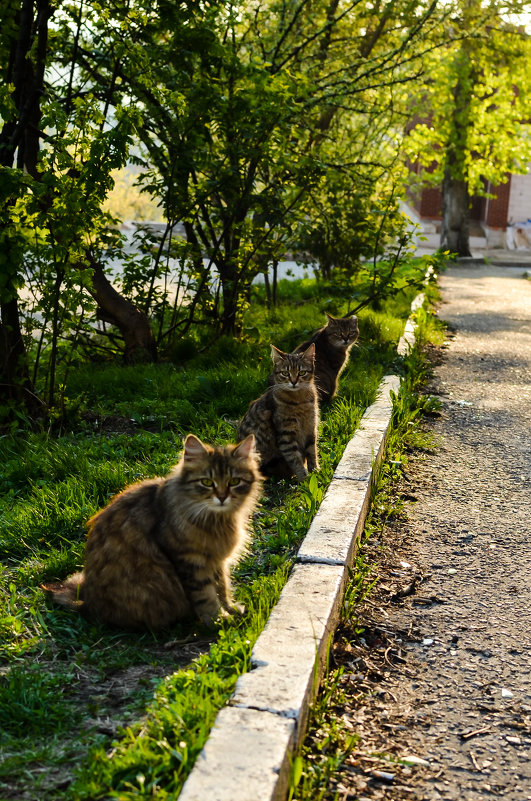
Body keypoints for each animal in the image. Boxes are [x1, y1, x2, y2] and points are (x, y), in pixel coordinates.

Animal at [41, 434, 262, 628]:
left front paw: (230, 608)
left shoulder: (217, 560)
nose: (222, 497)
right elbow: (206, 595)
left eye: (234, 482)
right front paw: (218, 620)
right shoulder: (190, 560)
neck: (217, 520)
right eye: (207, 482)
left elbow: (223, 586)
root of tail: (87, 603)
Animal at [241, 340, 320, 478]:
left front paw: (316, 472)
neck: (300, 401)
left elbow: (312, 452)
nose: (293, 382)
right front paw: (304, 478)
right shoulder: (286, 435)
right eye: (285, 373)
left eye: (301, 373)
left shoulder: (311, 428)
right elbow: (295, 459)